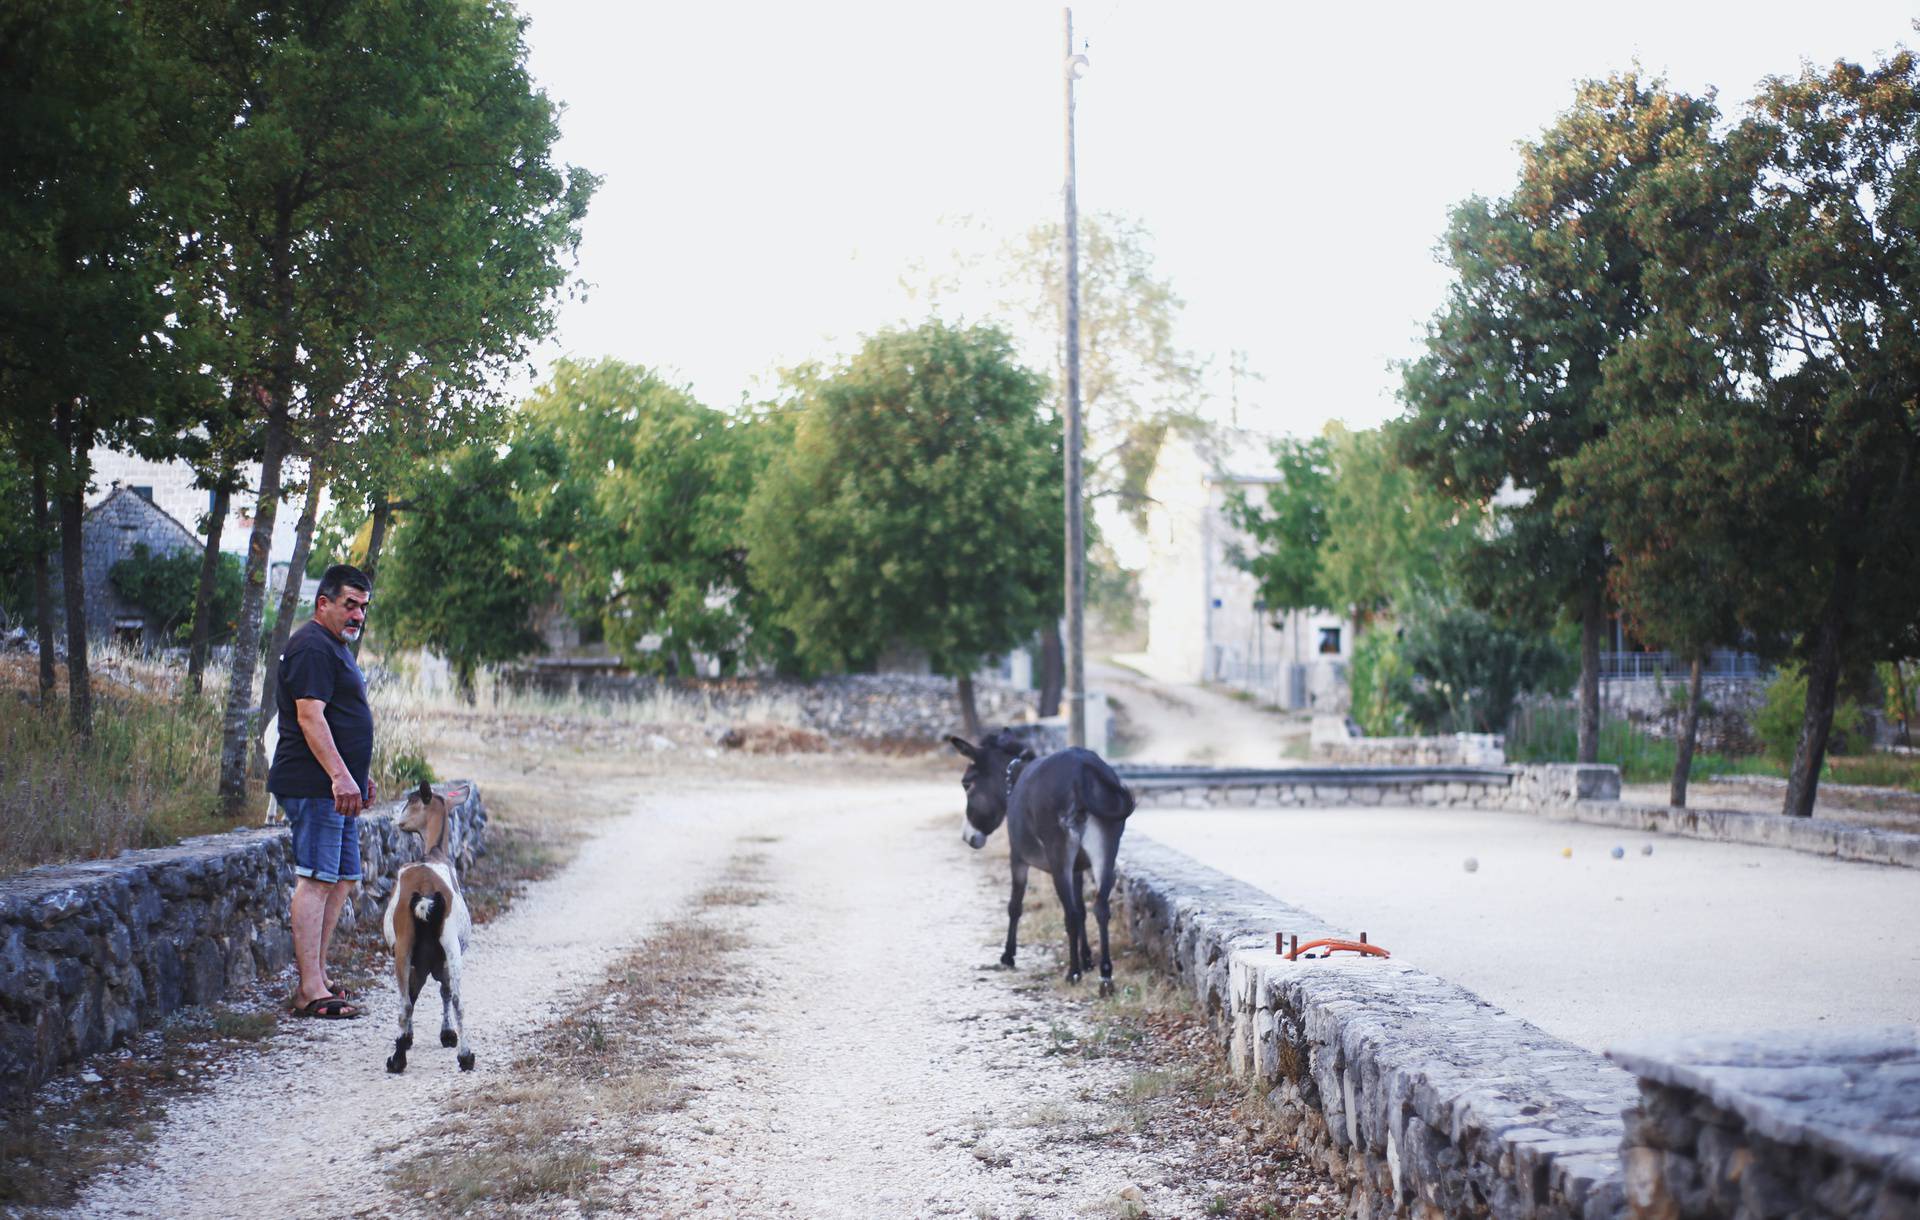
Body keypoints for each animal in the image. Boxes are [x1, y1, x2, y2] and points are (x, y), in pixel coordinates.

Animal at [380, 787, 474, 1075]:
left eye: (410, 802)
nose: (396, 820)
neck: (434, 852)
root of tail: (426, 892)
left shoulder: (415, 958)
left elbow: (414, 993)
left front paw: (409, 1038)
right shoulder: (435, 957)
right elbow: (440, 991)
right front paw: (447, 1035)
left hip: (407, 944)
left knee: (406, 1002)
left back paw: (397, 1060)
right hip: (451, 945)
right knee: (457, 998)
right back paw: (466, 1056)